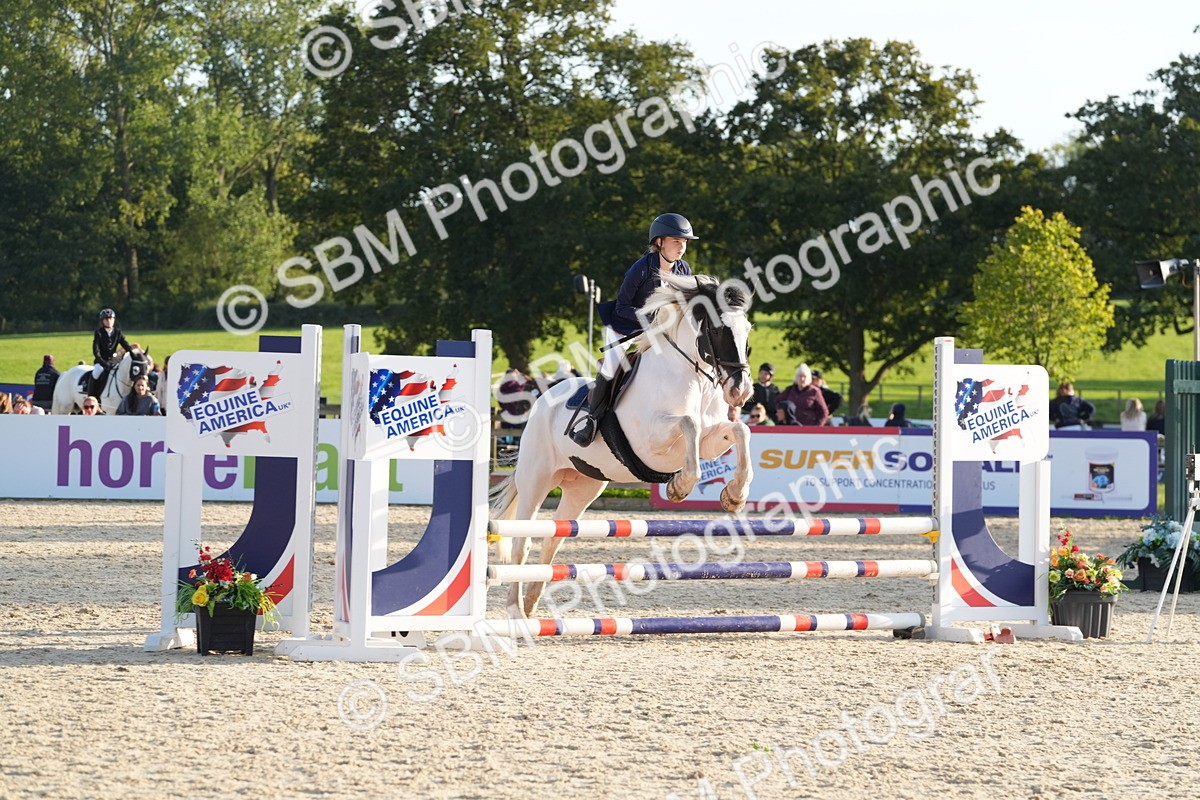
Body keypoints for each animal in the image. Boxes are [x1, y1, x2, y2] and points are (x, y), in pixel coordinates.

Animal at [491, 273, 755, 618]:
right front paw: (680, 487)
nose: (741, 391)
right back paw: (516, 610)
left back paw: (532, 601)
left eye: (746, 330)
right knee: (522, 543)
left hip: (583, 487)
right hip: (536, 479)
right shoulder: (652, 441)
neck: (690, 377)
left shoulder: (711, 440)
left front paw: (734, 495)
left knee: (553, 539)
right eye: (718, 329)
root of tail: (541, 401)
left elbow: (740, 430)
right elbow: (689, 424)